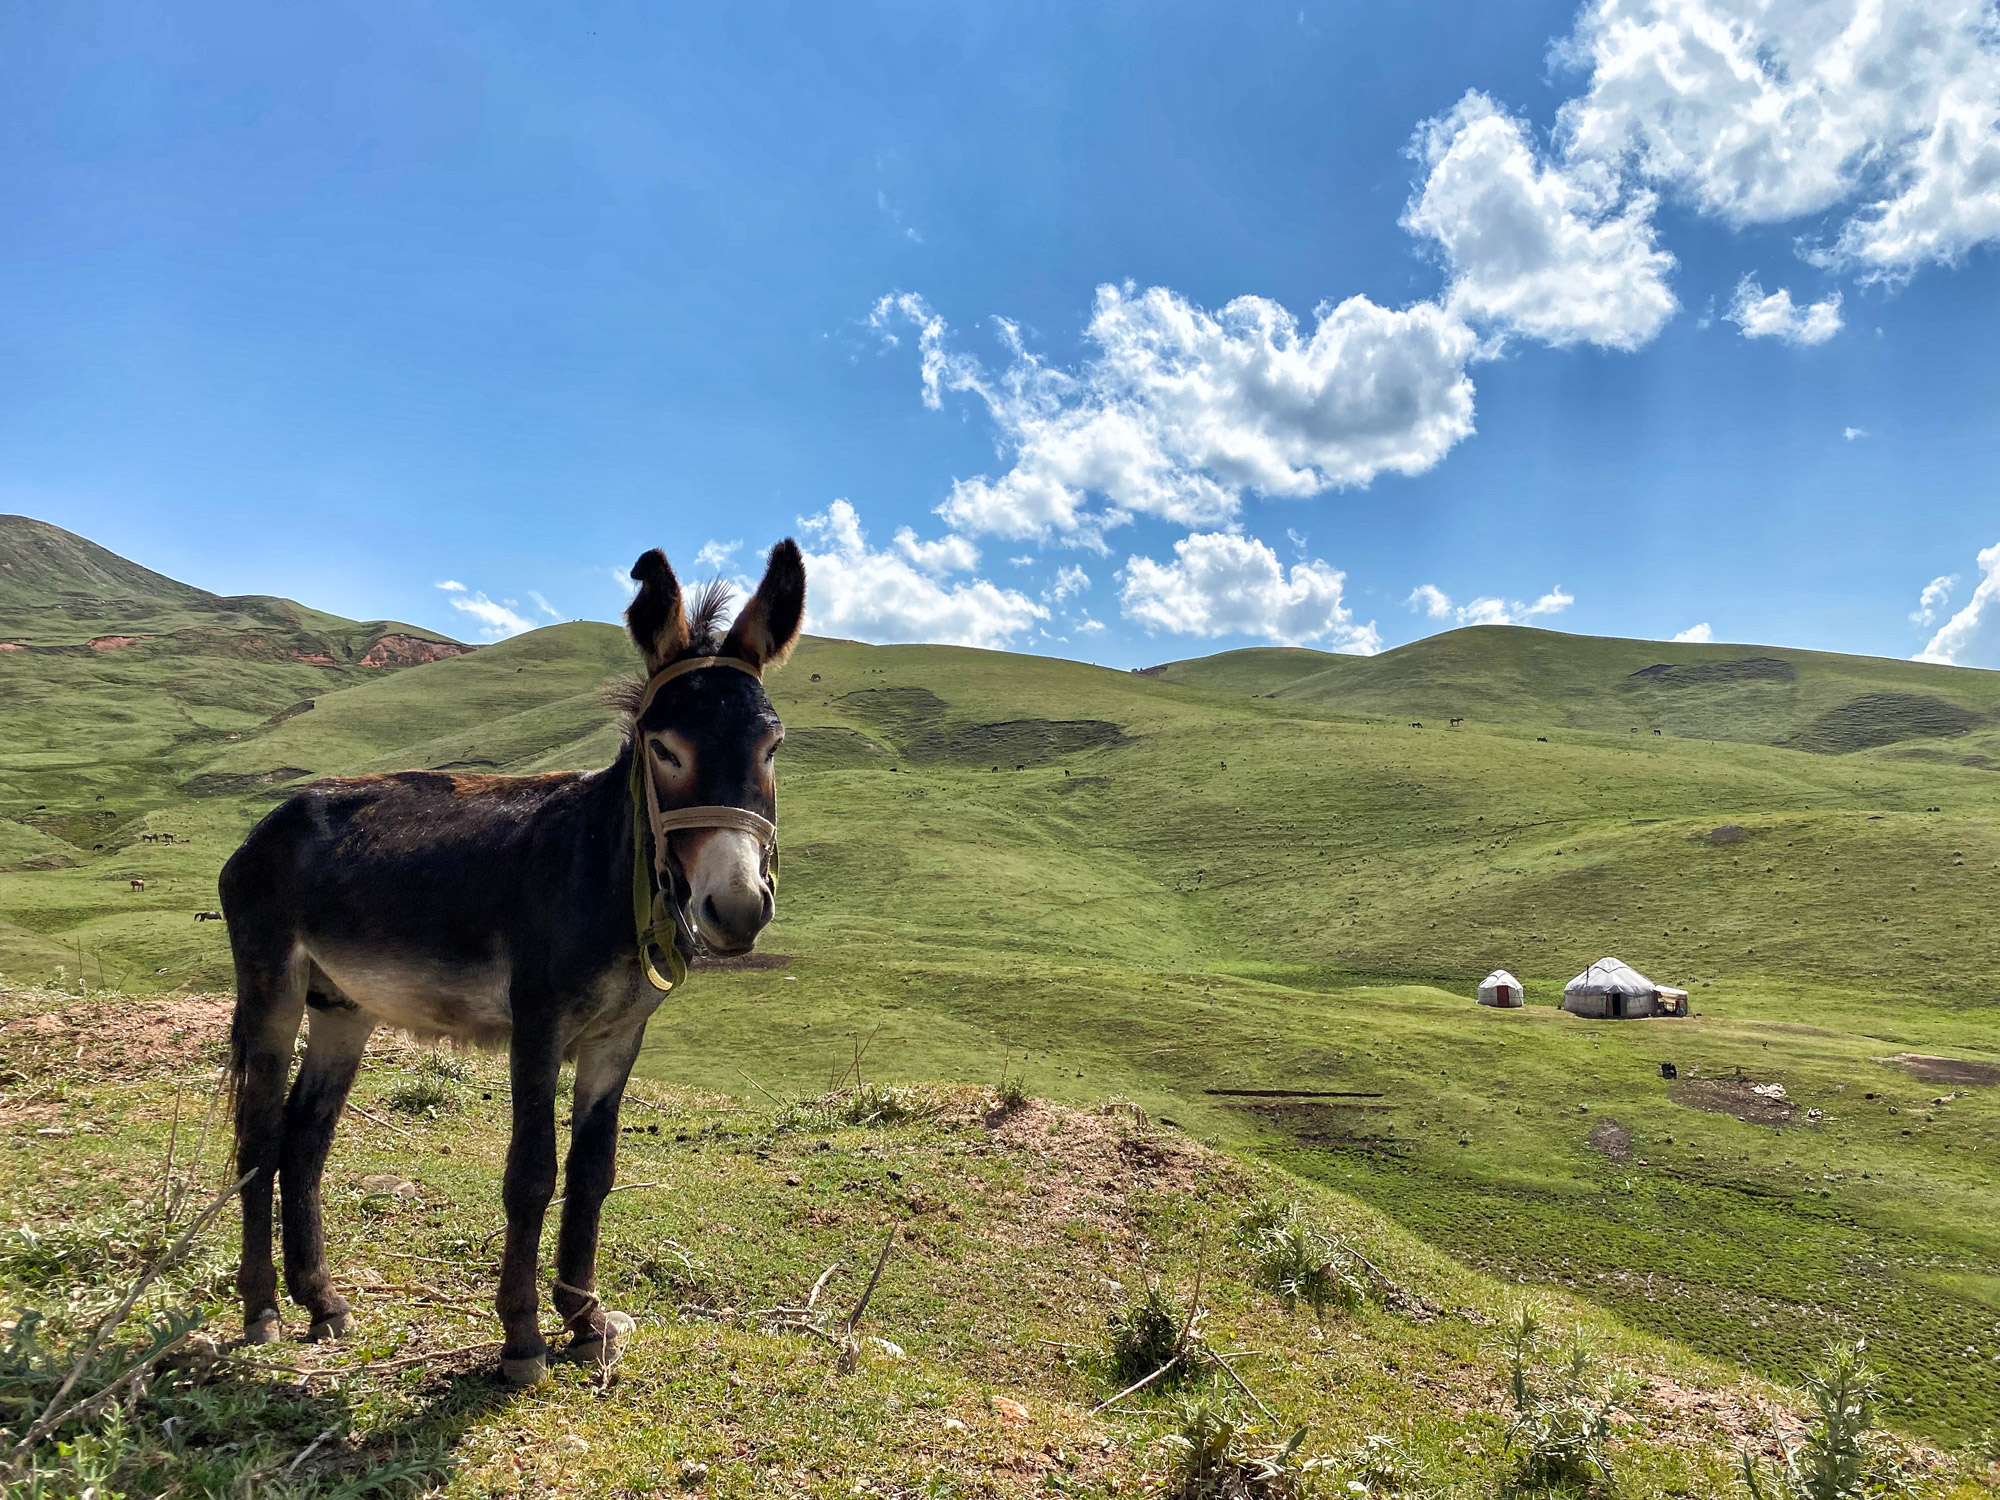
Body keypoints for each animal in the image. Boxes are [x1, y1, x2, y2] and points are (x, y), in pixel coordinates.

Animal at [221, 540, 804, 1384]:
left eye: (771, 747)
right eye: (665, 749)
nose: (736, 908)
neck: (602, 870)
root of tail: (273, 819)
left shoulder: (618, 1037)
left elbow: (594, 1173)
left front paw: (586, 1320)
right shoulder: (538, 1023)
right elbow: (532, 1173)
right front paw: (523, 1337)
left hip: (342, 1006)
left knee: (305, 1137)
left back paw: (322, 1302)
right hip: (273, 984)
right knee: (260, 1135)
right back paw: (262, 1308)